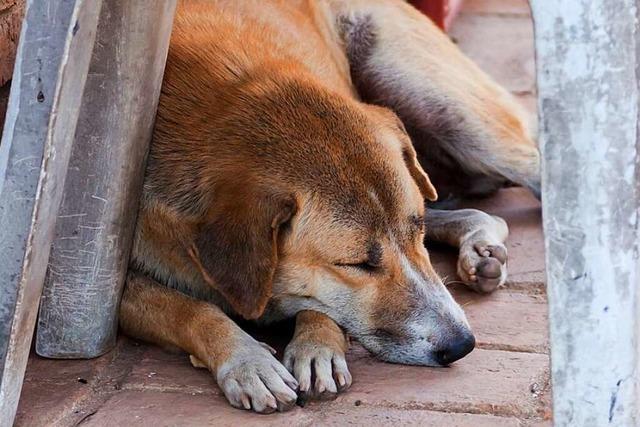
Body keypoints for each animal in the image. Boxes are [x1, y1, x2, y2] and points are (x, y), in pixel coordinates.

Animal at [120, 0, 540, 414]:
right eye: (357, 264)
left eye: (416, 229)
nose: (463, 345)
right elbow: (189, 310)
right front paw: (247, 361)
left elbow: (320, 305)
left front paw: (317, 344)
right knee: (483, 212)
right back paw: (481, 244)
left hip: (443, 106)